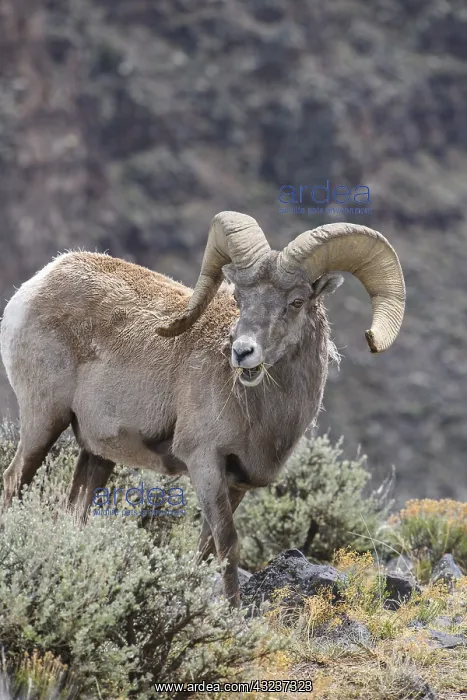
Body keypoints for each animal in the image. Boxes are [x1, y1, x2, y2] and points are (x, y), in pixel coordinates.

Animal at [0, 211, 405, 605]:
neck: (259, 414)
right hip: (44, 423)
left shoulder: (236, 484)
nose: (242, 352)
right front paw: (231, 614)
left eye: (297, 301)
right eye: (240, 298)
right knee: (13, 483)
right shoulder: (205, 465)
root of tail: (37, 284)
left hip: (96, 455)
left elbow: (206, 550)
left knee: (74, 513)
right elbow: (228, 546)